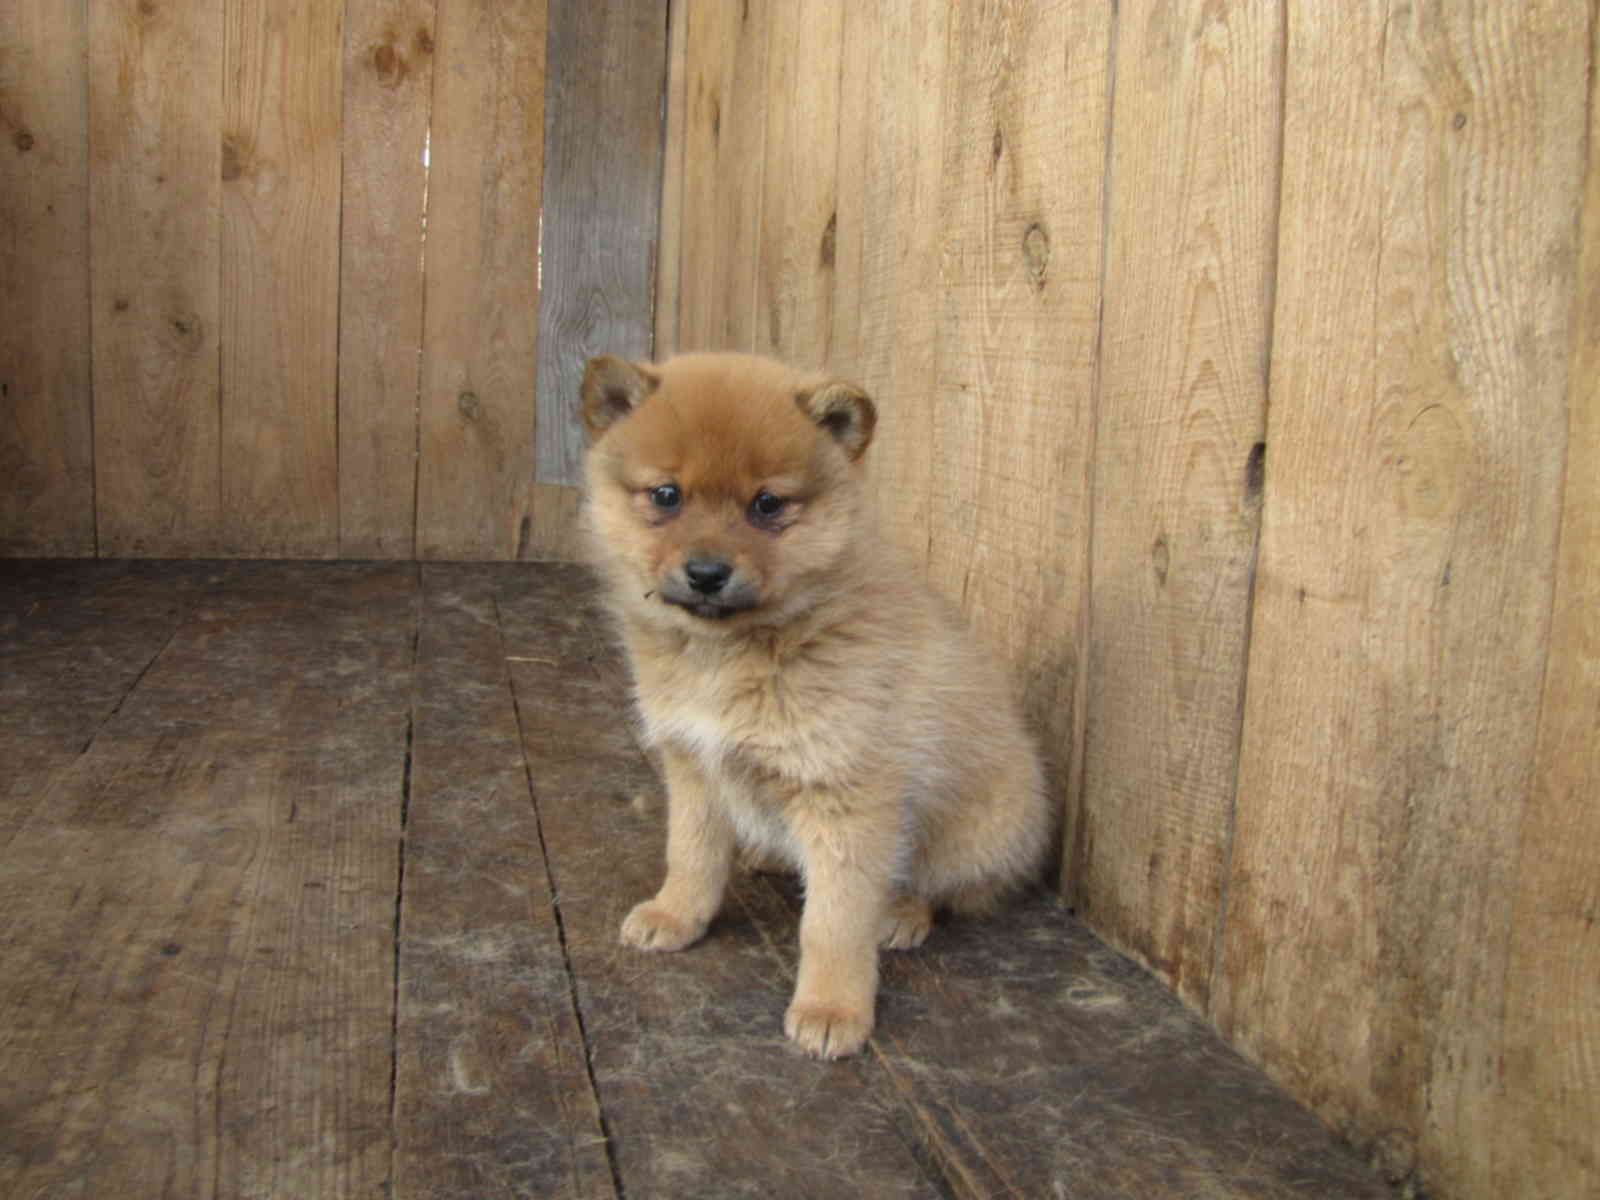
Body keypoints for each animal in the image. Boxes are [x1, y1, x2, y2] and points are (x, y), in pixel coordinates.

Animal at [582, 350, 1056, 1062]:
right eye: (667, 496)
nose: (706, 574)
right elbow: (690, 855)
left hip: (977, 831)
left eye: (767, 504)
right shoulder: (694, 763)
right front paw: (676, 914)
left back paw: (901, 914)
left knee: (948, 888)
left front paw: (833, 1008)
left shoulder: (846, 794)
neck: (731, 654)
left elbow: (833, 920)